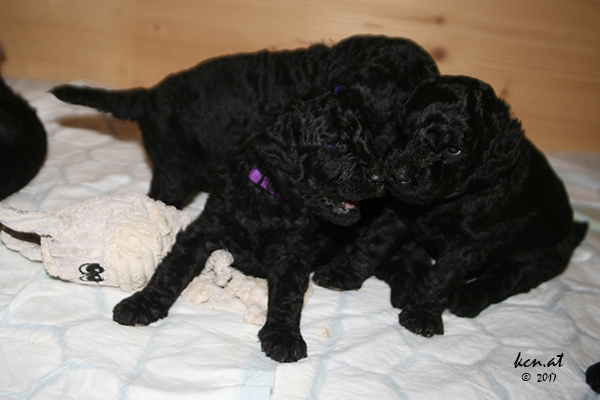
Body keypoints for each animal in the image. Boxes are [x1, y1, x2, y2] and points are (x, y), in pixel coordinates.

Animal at [112, 91, 385, 362]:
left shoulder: (291, 253)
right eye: (334, 144)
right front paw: (142, 303)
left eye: (367, 141)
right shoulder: (205, 229)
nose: (381, 177)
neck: (269, 197)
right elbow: (171, 269)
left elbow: (288, 296)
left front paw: (283, 335)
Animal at [315, 75, 587, 337]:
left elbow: (443, 276)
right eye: (407, 129)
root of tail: (574, 230)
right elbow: (372, 244)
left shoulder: (470, 242)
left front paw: (423, 313)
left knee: (510, 276)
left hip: (543, 256)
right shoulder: (399, 209)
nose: (397, 174)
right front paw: (342, 274)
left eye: (453, 149)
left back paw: (468, 297)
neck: (443, 201)